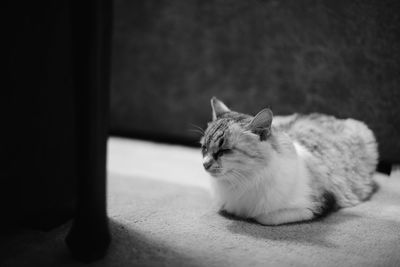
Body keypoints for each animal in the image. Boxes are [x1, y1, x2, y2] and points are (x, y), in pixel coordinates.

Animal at [200, 97, 378, 225]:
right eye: (204, 148)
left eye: (224, 151)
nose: (205, 164)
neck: (241, 182)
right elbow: (223, 206)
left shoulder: (317, 203)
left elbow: (264, 217)